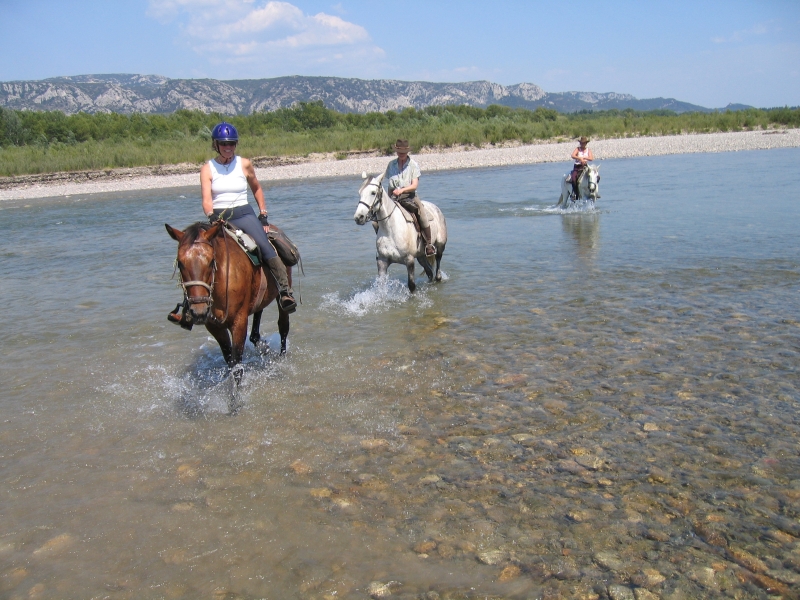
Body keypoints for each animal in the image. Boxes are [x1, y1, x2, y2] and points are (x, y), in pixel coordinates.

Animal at [165, 220, 290, 384]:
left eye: (211, 261)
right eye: (180, 263)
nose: (199, 311)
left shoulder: (239, 322)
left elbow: (236, 366)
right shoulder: (213, 326)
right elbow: (229, 359)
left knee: (283, 326)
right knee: (257, 321)